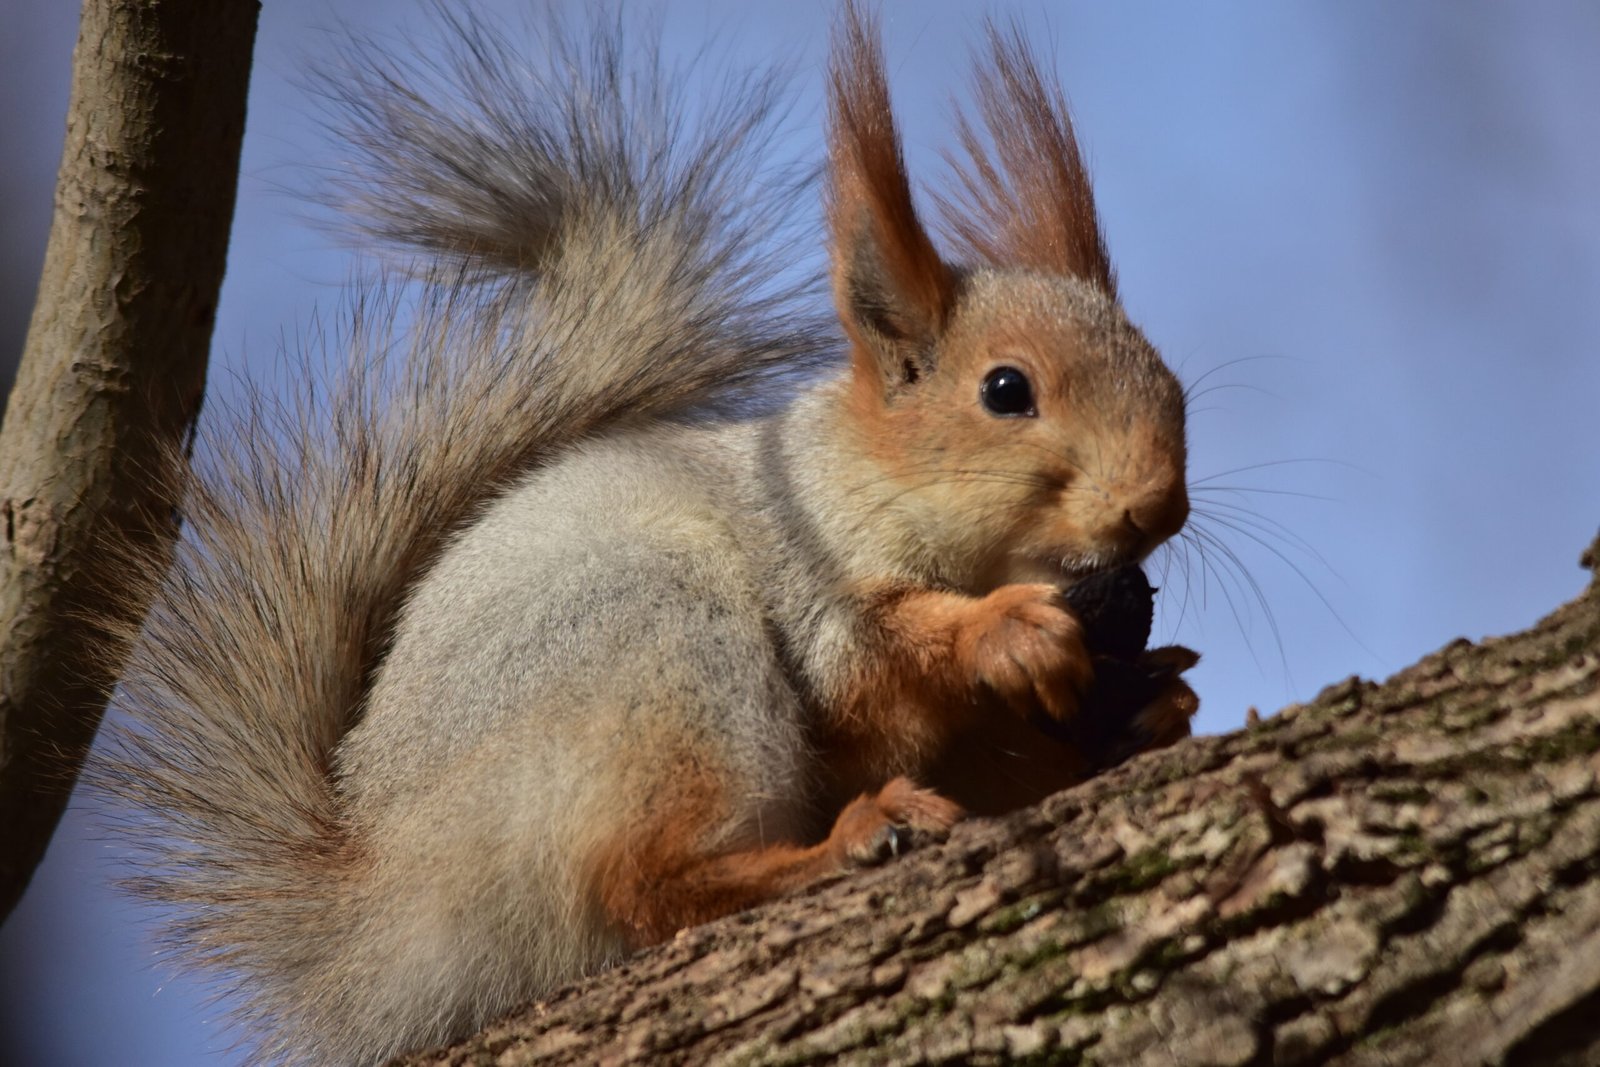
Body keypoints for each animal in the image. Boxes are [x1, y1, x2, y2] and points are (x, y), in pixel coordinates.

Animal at [93, 4, 1203, 1062]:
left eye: (1172, 380)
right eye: (1006, 389)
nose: (1157, 503)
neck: (858, 481)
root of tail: (389, 913)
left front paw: (1152, 702)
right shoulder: (812, 585)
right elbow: (875, 675)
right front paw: (1006, 630)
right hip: (658, 658)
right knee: (639, 884)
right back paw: (847, 842)